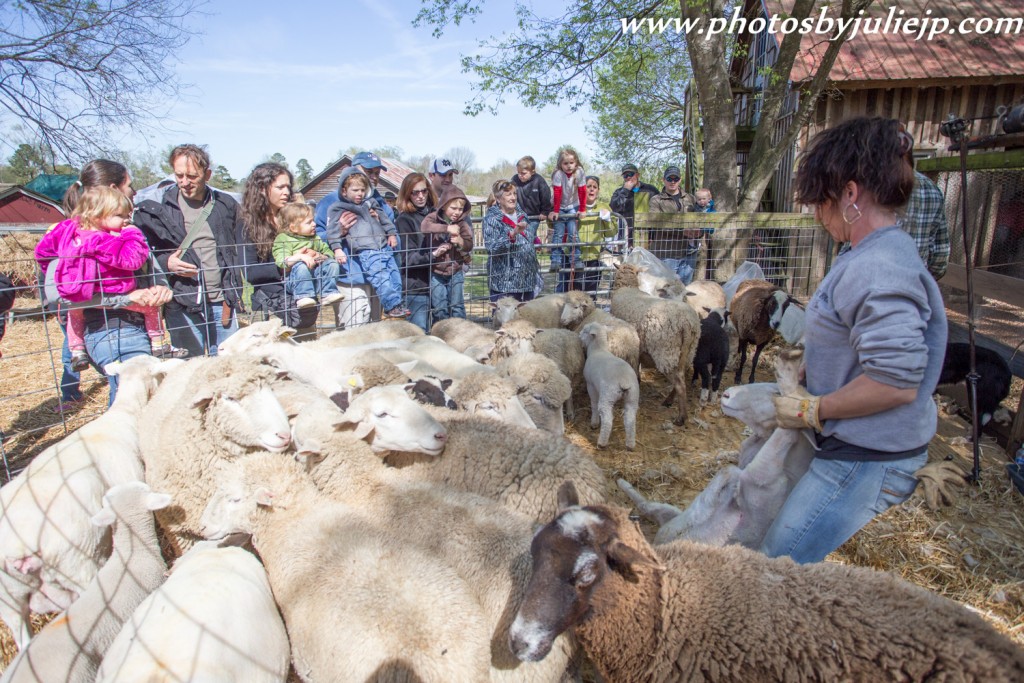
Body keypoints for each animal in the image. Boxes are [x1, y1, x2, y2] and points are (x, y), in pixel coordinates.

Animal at [610, 264, 700, 423]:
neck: (627, 286)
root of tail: (686, 323)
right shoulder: (637, 345)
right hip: (688, 352)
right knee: (682, 376)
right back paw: (669, 401)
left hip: (666, 352)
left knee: (680, 383)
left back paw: (681, 417)